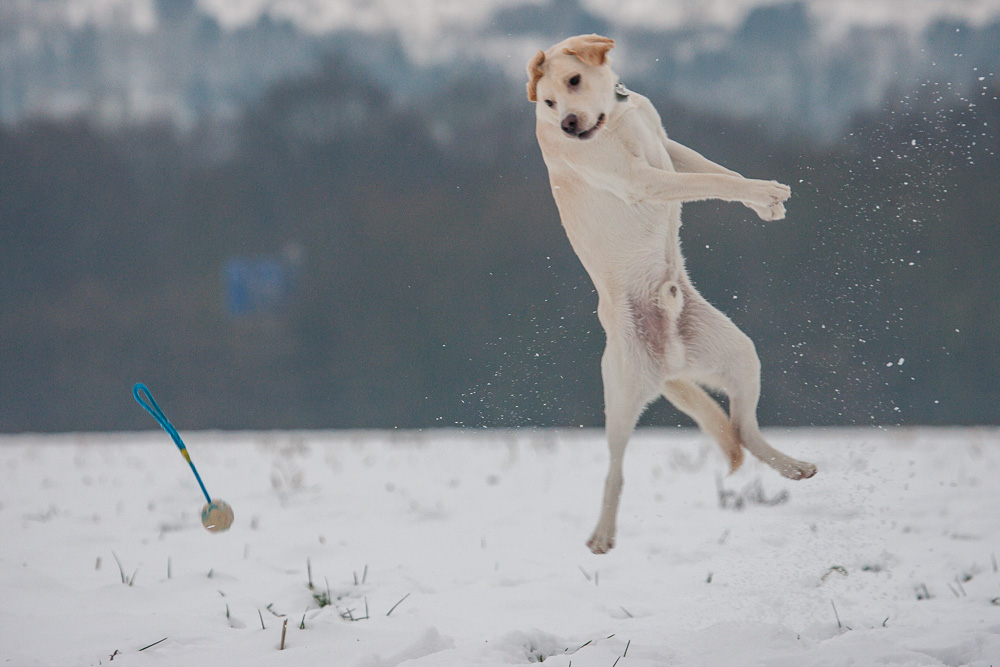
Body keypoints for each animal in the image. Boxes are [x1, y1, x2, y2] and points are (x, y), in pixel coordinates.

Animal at [528, 34, 816, 552]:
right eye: (548, 102)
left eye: (574, 80)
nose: (568, 126)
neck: (615, 116)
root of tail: (669, 365)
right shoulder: (643, 179)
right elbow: (709, 180)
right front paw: (766, 192)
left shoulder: (666, 143)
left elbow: (719, 173)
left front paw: (762, 200)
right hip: (621, 399)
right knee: (615, 470)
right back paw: (602, 534)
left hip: (740, 354)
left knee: (743, 430)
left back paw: (794, 466)